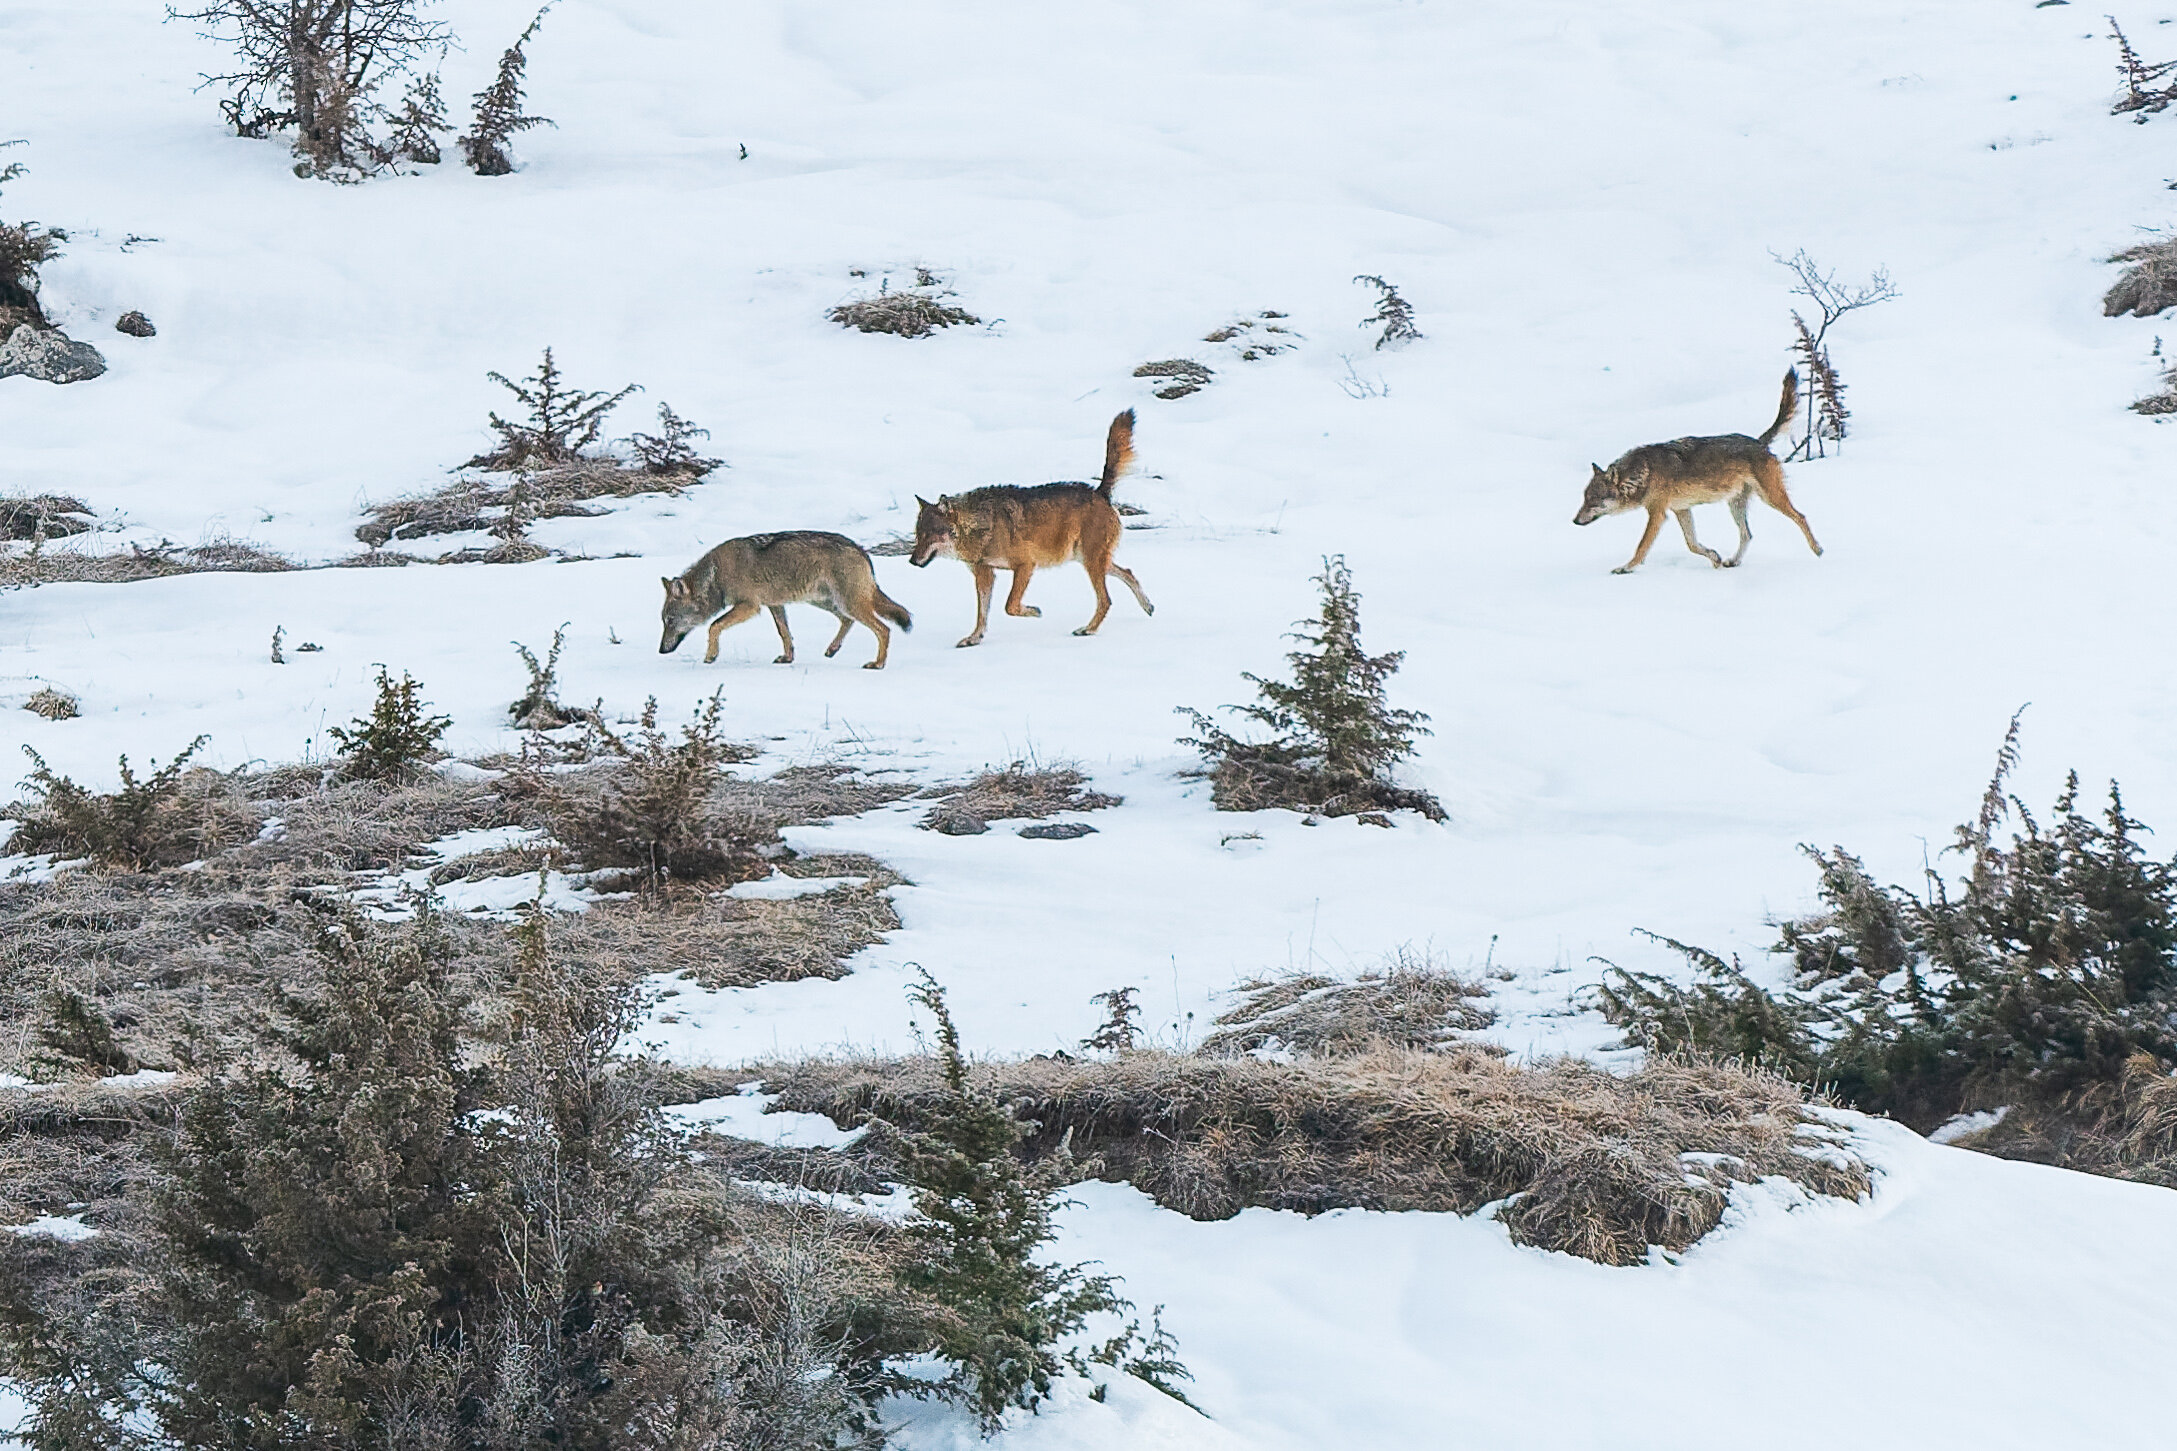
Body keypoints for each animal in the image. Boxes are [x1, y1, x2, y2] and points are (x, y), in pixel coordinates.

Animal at [659, 531, 912, 669]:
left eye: (670, 621)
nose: (661, 650)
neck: (716, 575)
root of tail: (862, 550)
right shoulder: (774, 605)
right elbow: (784, 634)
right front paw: (788, 658)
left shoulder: (750, 606)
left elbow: (713, 625)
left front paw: (711, 656)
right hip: (827, 602)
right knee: (847, 621)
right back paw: (832, 649)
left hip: (847, 603)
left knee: (884, 629)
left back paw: (877, 664)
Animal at [910, 409, 1154, 647]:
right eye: (917, 535)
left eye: (930, 534)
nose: (911, 561)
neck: (983, 527)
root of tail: (1099, 492)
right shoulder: (985, 574)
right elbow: (982, 614)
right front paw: (974, 638)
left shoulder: (1026, 565)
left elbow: (1010, 605)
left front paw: (1034, 611)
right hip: (1088, 560)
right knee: (1128, 573)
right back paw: (1147, 606)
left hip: (1090, 562)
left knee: (1106, 599)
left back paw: (1088, 629)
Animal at [1573, 369, 1823, 574]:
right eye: (1584, 499)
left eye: (1593, 500)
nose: (1574, 521)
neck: (1644, 473)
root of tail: (1759, 442)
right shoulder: (1681, 510)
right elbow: (1692, 544)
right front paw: (1715, 558)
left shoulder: (1658, 514)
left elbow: (1642, 546)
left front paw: (1626, 568)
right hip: (1735, 504)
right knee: (1747, 534)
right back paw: (1733, 561)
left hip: (1770, 498)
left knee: (1800, 516)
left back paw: (1817, 549)